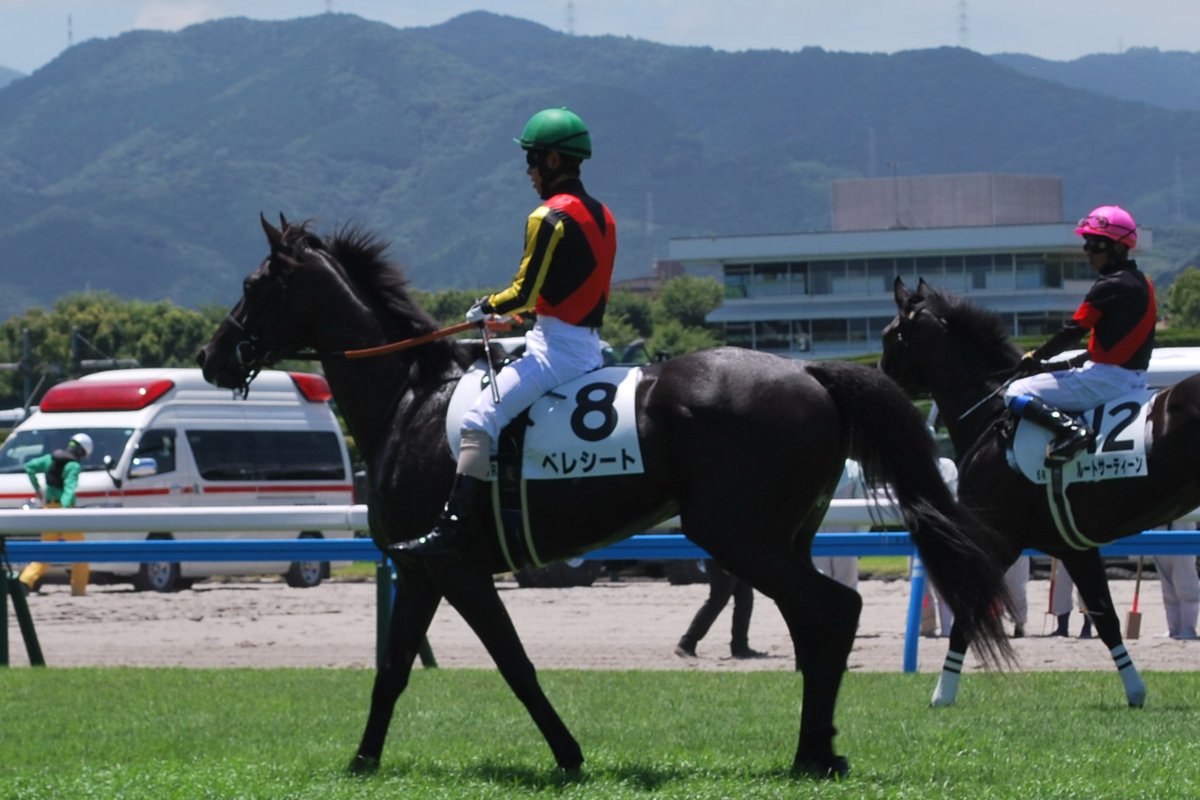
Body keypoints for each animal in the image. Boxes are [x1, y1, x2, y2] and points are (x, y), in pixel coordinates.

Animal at [196, 216, 1016, 780]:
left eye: (253, 286)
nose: (210, 356)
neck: (412, 401)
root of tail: (812, 372)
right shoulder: (422, 570)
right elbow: (394, 667)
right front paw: (362, 760)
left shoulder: (454, 566)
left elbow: (514, 664)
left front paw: (567, 752)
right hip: (783, 537)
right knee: (816, 620)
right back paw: (818, 749)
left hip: (739, 535)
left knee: (829, 610)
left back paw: (812, 753)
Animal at [881, 277, 1200, 709]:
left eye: (890, 336)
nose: (877, 384)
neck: (990, 421)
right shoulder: (1075, 548)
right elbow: (1107, 618)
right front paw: (1135, 691)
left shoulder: (1000, 540)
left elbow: (968, 614)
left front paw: (941, 694)